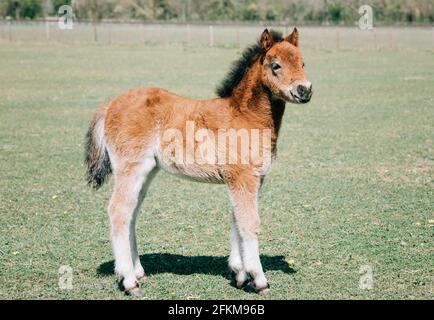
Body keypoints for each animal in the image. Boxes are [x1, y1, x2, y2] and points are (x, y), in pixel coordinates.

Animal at [85, 28, 312, 296]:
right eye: (276, 65)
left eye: (303, 63)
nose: (304, 90)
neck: (245, 117)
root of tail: (110, 105)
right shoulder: (242, 178)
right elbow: (249, 223)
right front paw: (259, 280)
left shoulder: (249, 180)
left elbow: (237, 220)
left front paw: (239, 274)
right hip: (130, 169)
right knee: (118, 212)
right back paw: (129, 281)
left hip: (147, 172)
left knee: (131, 213)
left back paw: (138, 272)